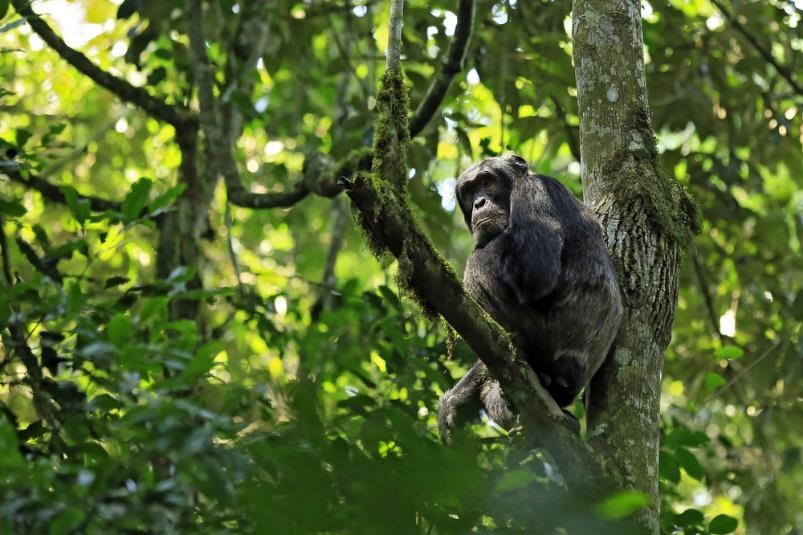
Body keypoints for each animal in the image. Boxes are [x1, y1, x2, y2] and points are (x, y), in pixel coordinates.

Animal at [440, 153, 620, 442]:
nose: (479, 202)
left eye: (486, 181)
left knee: (477, 262)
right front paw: (456, 400)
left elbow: (535, 271)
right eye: (468, 191)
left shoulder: (534, 191)